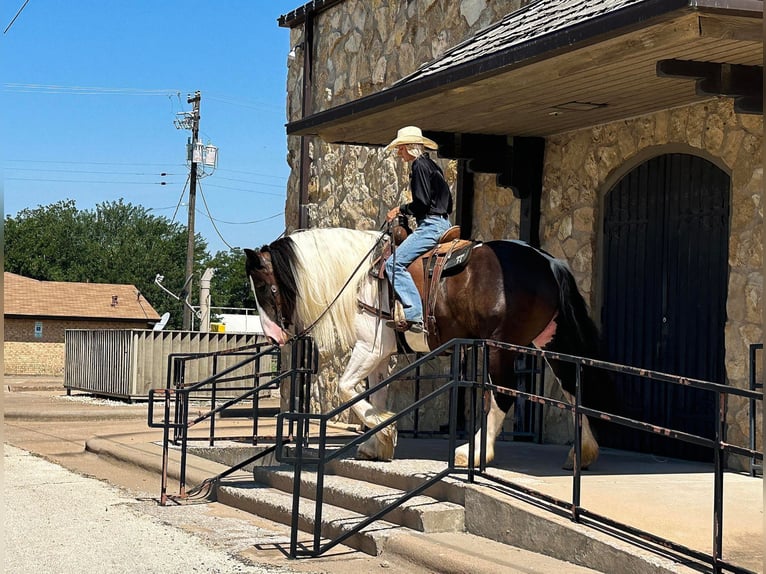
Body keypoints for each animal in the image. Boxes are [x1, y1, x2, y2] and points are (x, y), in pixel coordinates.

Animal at [246, 227, 612, 470]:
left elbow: (347, 388)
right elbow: (375, 393)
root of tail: (549, 262)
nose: (272, 337)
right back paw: (582, 453)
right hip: (552, 341)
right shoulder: (381, 358)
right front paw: (377, 443)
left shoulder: (369, 349)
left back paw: (473, 452)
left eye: (263, 285)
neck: (361, 279)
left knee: (502, 395)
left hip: (498, 347)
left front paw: (386, 428)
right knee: (573, 390)